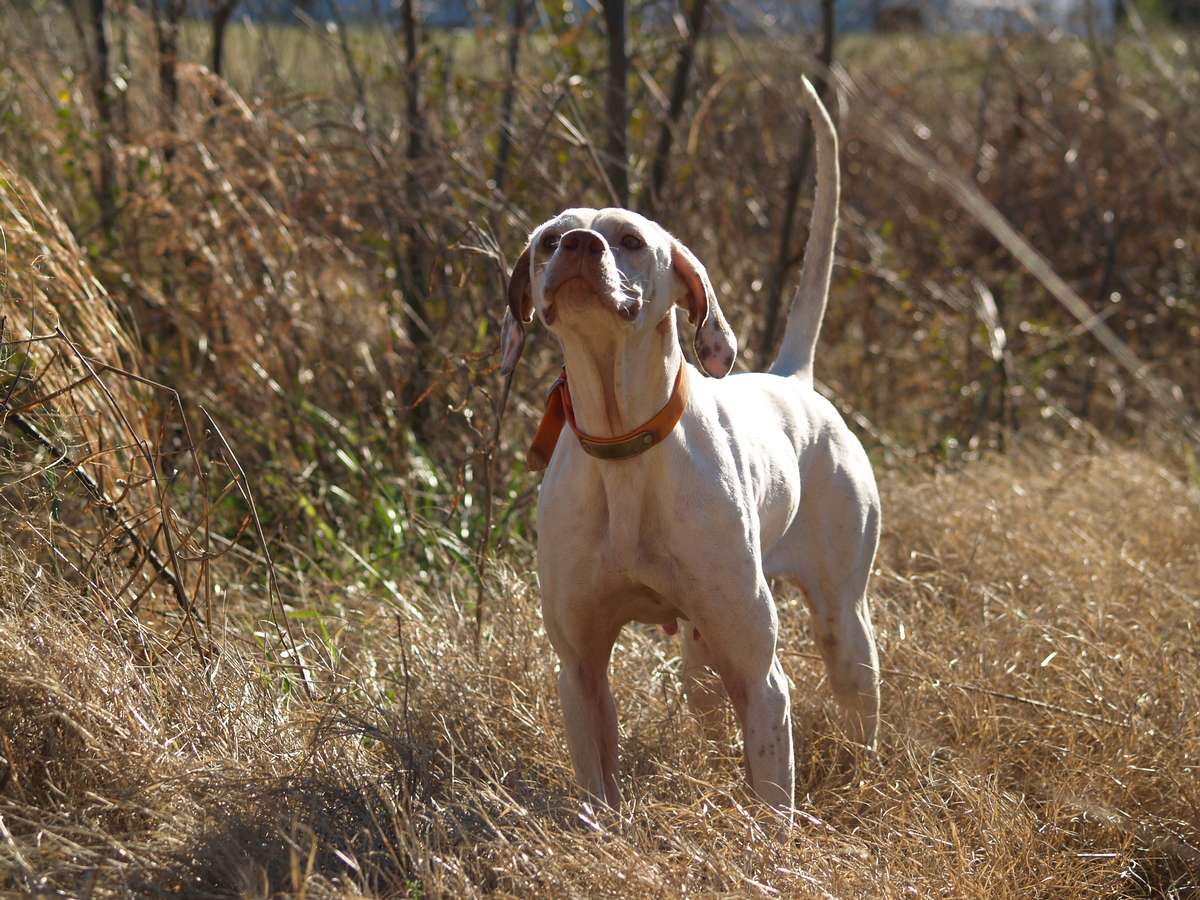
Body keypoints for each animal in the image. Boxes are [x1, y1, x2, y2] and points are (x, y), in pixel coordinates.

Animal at [496, 77, 883, 816]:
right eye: (550, 239)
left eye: (629, 238)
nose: (579, 246)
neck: (624, 447)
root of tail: (794, 378)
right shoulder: (580, 668)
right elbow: (599, 793)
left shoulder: (762, 679)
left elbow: (773, 802)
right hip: (701, 661)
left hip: (842, 629)